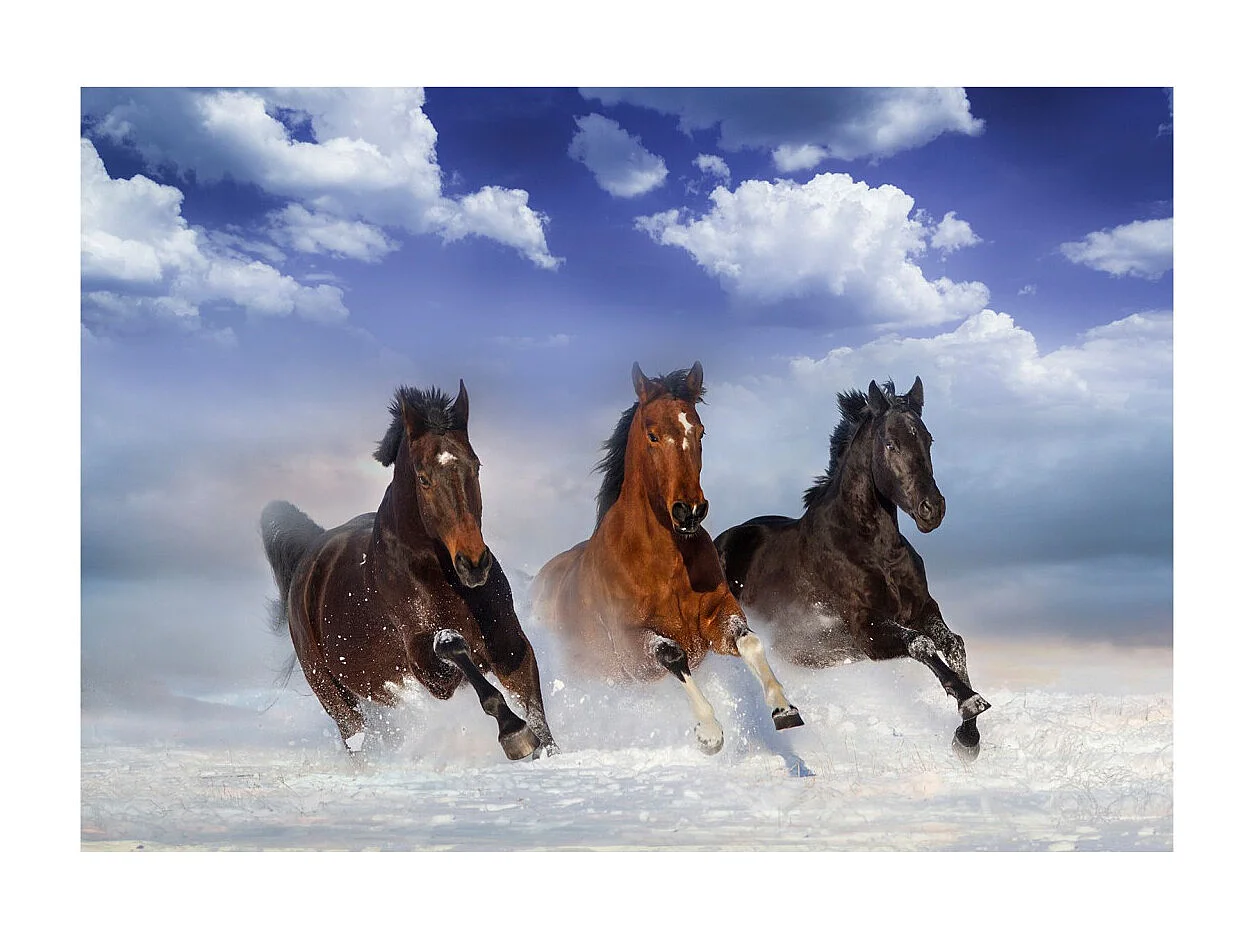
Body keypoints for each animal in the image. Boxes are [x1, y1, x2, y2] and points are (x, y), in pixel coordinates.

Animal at [260, 382, 557, 761]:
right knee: (356, 738)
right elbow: (453, 648)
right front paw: (514, 734)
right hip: (333, 695)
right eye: (423, 477)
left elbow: (535, 709)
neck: (440, 577)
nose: (473, 563)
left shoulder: (508, 643)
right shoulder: (429, 671)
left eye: (475, 466)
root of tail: (309, 558)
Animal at [531, 361, 803, 755]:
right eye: (653, 435)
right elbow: (674, 656)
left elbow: (750, 641)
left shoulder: (716, 618)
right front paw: (710, 733)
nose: (689, 511)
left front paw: (784, 709)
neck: (666, 563)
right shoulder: (632, 648)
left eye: (700, 431)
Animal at [713, 377, 990, 759]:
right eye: (890, 443)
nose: (931, 509)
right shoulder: (864, 628)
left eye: (928, 439)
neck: (873, 549)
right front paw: (969, 702)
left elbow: (953, 644)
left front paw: (968, 737)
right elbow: (921, 645)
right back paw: (780, 715)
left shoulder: (922, 608)